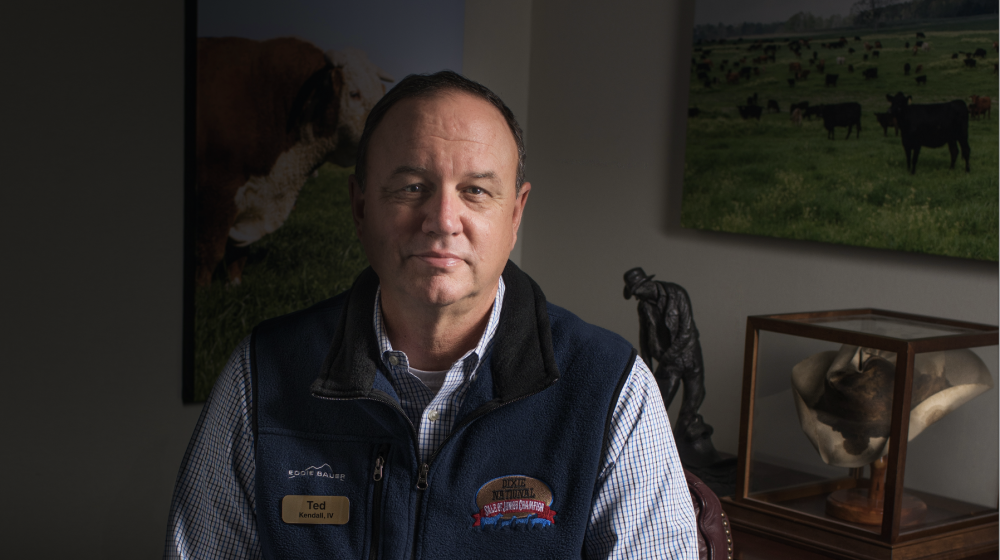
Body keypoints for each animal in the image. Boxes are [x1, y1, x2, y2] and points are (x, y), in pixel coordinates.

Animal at [195, 38, 394, 288]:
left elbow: (238, 253)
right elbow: (210, 252)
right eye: (354, 94)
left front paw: (234, 285)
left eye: (381, 92)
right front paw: (203, 290)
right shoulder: (218, 190)